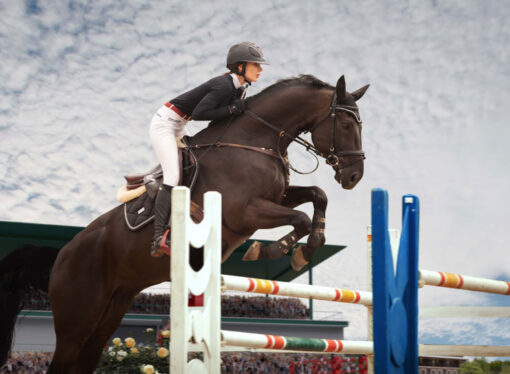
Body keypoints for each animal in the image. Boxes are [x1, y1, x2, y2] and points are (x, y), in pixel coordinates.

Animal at [0, 74, 366, 372]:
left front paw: (307, 247)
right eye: (348, 126)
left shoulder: (277, 196)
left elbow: (317, 196)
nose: (354, 177)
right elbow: (300, 218)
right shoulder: (244, 211)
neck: (256, 139)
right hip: (77, 318)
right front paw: (275, 250)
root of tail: (62, 253)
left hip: (112, 308)